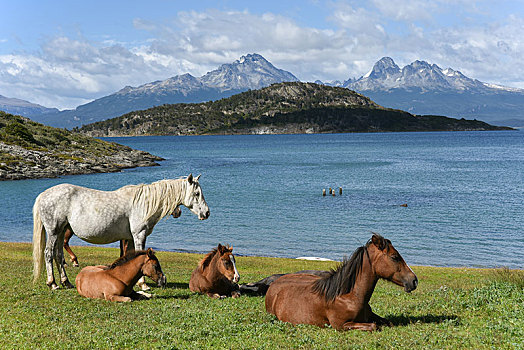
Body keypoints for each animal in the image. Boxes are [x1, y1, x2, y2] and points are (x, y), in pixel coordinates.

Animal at [31, 173, 209, 290]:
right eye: (197, 193)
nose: (206, 213)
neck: (143, 203)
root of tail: (43, 195)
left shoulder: (128, 238)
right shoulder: (139, 235)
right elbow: (140, 255)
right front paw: (143, 284)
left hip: (61, 231)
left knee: (58, 255)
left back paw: (66, 282)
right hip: (54, 231)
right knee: (48, 254)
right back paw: (53, 283)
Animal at [266, 235, 418, 330]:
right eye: (394, 257)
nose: (414, 280)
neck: (349, 295)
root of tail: (273, 284)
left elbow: (387, 322)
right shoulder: (340, 325)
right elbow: (374, 326)